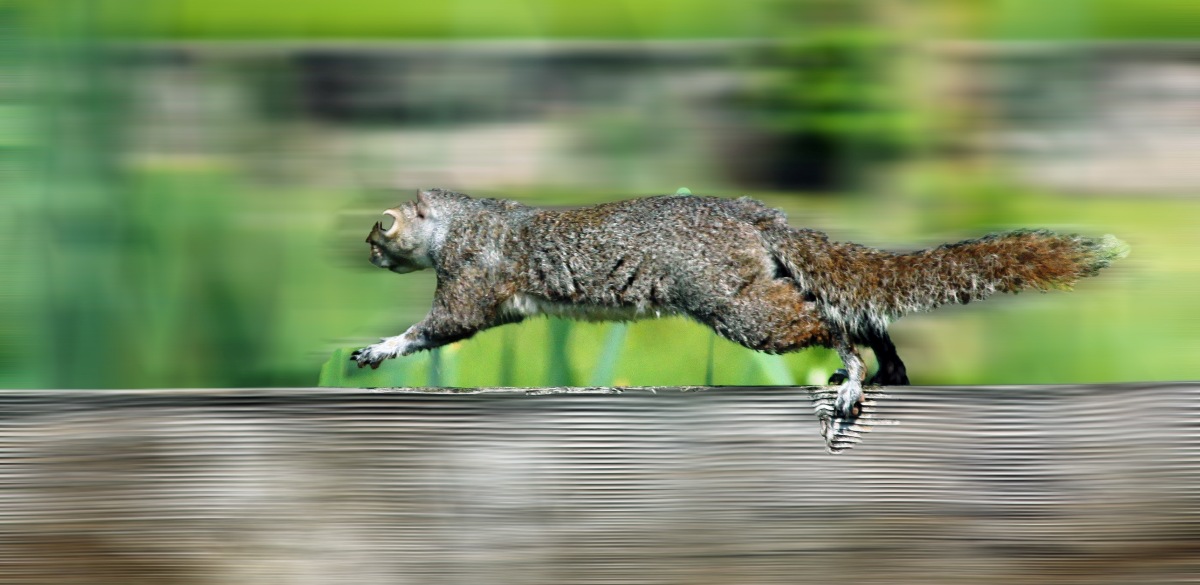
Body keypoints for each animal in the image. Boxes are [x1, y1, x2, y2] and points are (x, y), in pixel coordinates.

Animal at [351, 188, 1129, 419]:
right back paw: (887, 367)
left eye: (381, 228)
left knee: (826, 318)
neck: (462, 221)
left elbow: (442, 325)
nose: (365, 251)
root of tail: (757, 219)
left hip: (733, 302)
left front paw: (379, 347)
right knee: (860, 312)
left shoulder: (473, 276)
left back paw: (851, 374)